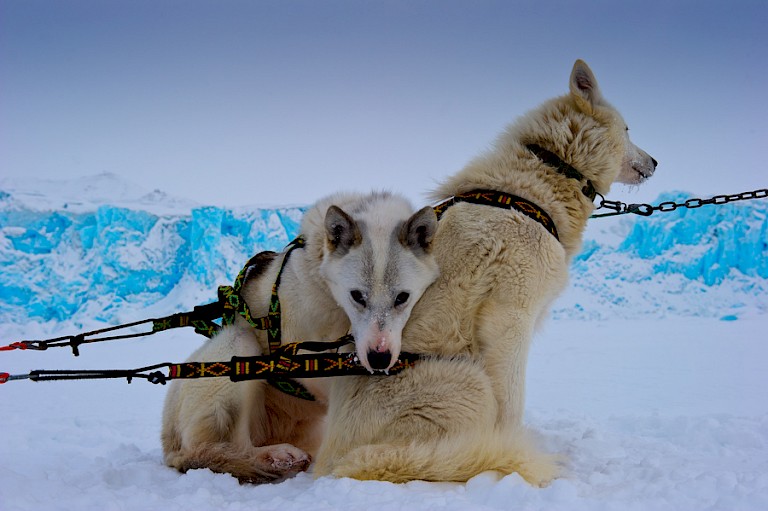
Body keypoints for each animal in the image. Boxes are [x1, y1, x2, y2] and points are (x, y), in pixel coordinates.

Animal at [160, 192, 438, 484]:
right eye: (357, 296)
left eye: (402, 297)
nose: (379, 358)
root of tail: (170, 447)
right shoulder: (301, 353)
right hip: (239, 346)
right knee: (229, 446)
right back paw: (274, 456)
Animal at [316, 59, 656, 484]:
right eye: (628, 129)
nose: (655, 162)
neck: (537, 187)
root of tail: (334, 459)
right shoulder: (510, 320)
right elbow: (511, 404)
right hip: (470, 381)